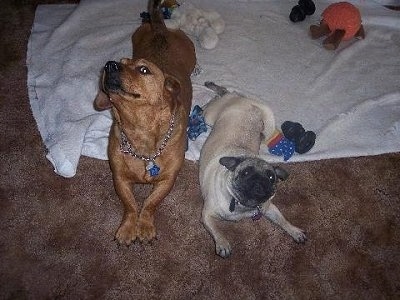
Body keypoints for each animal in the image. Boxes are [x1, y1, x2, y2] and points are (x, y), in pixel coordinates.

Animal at [92, 0, 195, 244]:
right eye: (120, 62)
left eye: (144, 69)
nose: (109, 64)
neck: (140, 129)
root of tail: (160, 28)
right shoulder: (119, 178)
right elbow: (130, 204)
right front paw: (129, 227)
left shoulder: (167, 180)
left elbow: (150, 203)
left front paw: (145, 225)